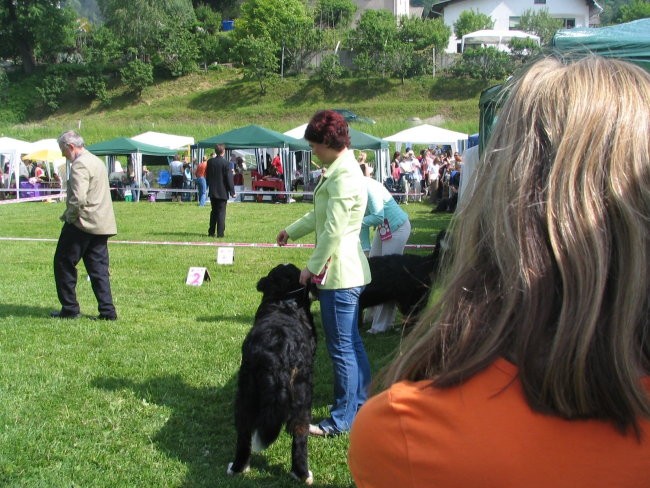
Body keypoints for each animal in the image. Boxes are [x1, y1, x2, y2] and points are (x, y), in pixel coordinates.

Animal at [227, 264, 316, 484]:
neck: (283, 299)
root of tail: (276, 354)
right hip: (302, 395)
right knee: (299, 438)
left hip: (247, 393)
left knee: (244, 433)